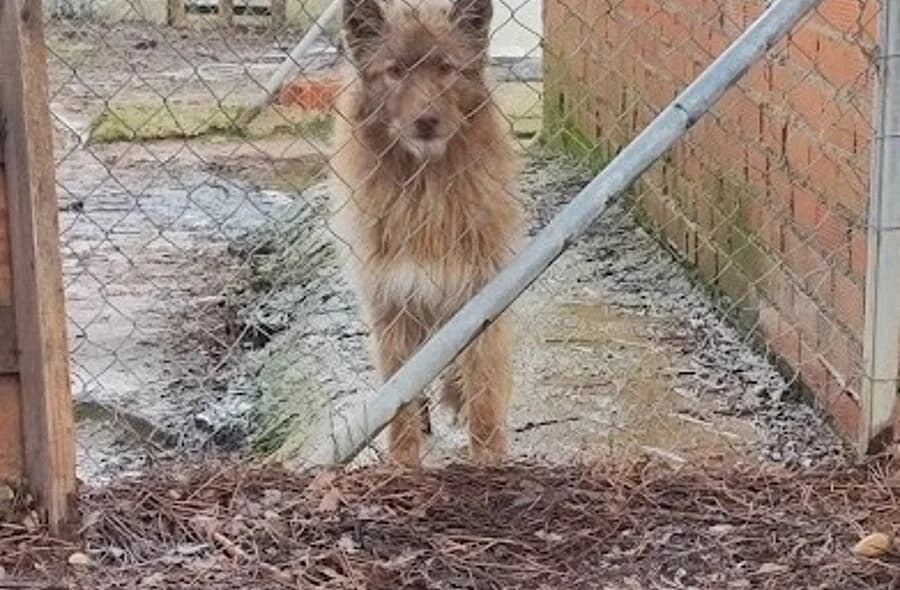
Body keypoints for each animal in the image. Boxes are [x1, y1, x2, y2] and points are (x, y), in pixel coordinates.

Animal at [329, 0, 523, 466]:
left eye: (446, 68)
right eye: (395, 71)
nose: (426, 120)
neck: (425, 191)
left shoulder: (481, 291)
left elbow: (484, 388)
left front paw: (489, 458)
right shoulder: (392, 300)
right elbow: (399, 395)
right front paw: (404, 462)